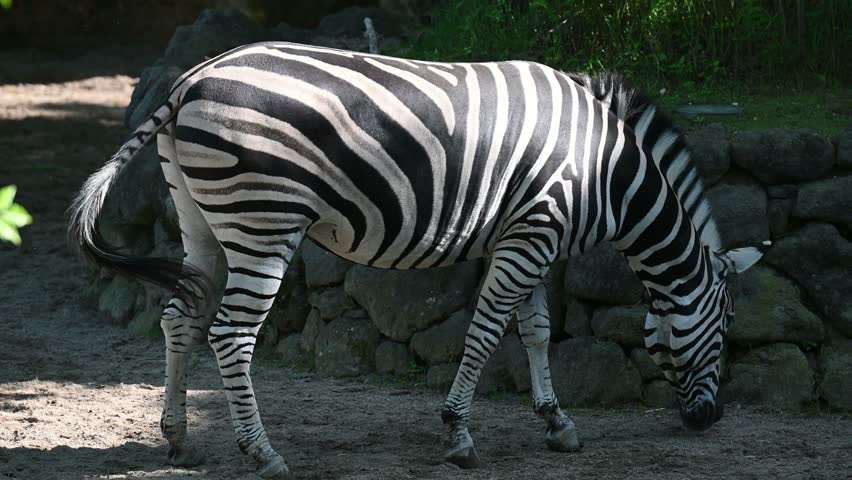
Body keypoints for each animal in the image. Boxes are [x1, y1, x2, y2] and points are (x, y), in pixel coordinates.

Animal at [69, 42, 768, 478]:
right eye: (729, 327)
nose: (710, 420)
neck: (607, 170)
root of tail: (190, 80)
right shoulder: (532, 234)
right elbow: (486, 332)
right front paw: (458, 434)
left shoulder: (529, 234)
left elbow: (538, 331)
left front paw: (556, 421)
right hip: (263, 221)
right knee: (232, 334)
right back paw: (262, 454)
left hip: (202, 221)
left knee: (179, 320)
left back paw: (179, 439)